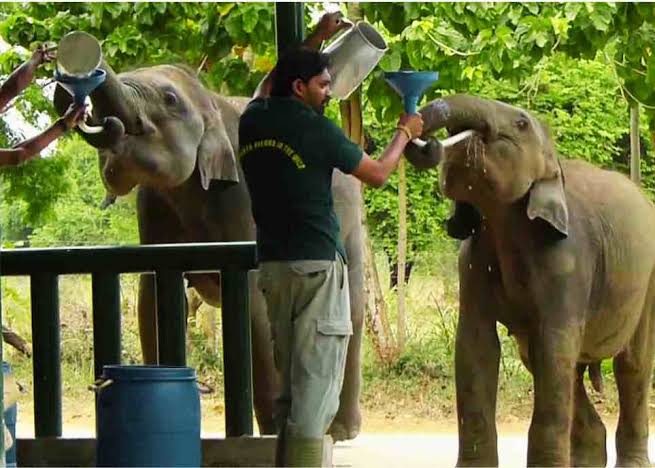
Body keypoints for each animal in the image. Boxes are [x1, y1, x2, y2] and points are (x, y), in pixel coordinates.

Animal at [53, 63, 364, 441]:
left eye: (170, 99)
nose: (86, 110)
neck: (212, 101)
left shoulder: (243, 196)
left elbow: (254, 306)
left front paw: (272, 432)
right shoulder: (153, 208)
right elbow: (151, 299)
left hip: (352, 227)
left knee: (351, 313)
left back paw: (341, 432)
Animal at [405, 94, 655, 467]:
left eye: (521, 123)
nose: (429, 141)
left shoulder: (568, 264)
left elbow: (554, 347)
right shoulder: (471, 263)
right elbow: (475, 347)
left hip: (648, 283)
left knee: (631, 365)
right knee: (555, 366)